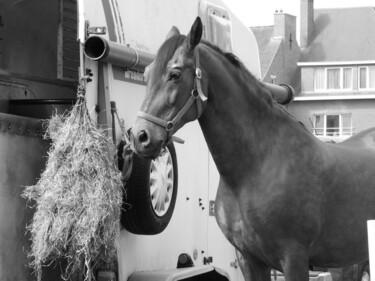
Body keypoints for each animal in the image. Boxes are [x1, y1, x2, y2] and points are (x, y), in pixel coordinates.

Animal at [131, 17, 375, 280]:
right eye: (147, 73)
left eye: (174, 74)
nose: (140, 136)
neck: (258, 166)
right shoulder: (249, 259)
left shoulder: (294, 259)